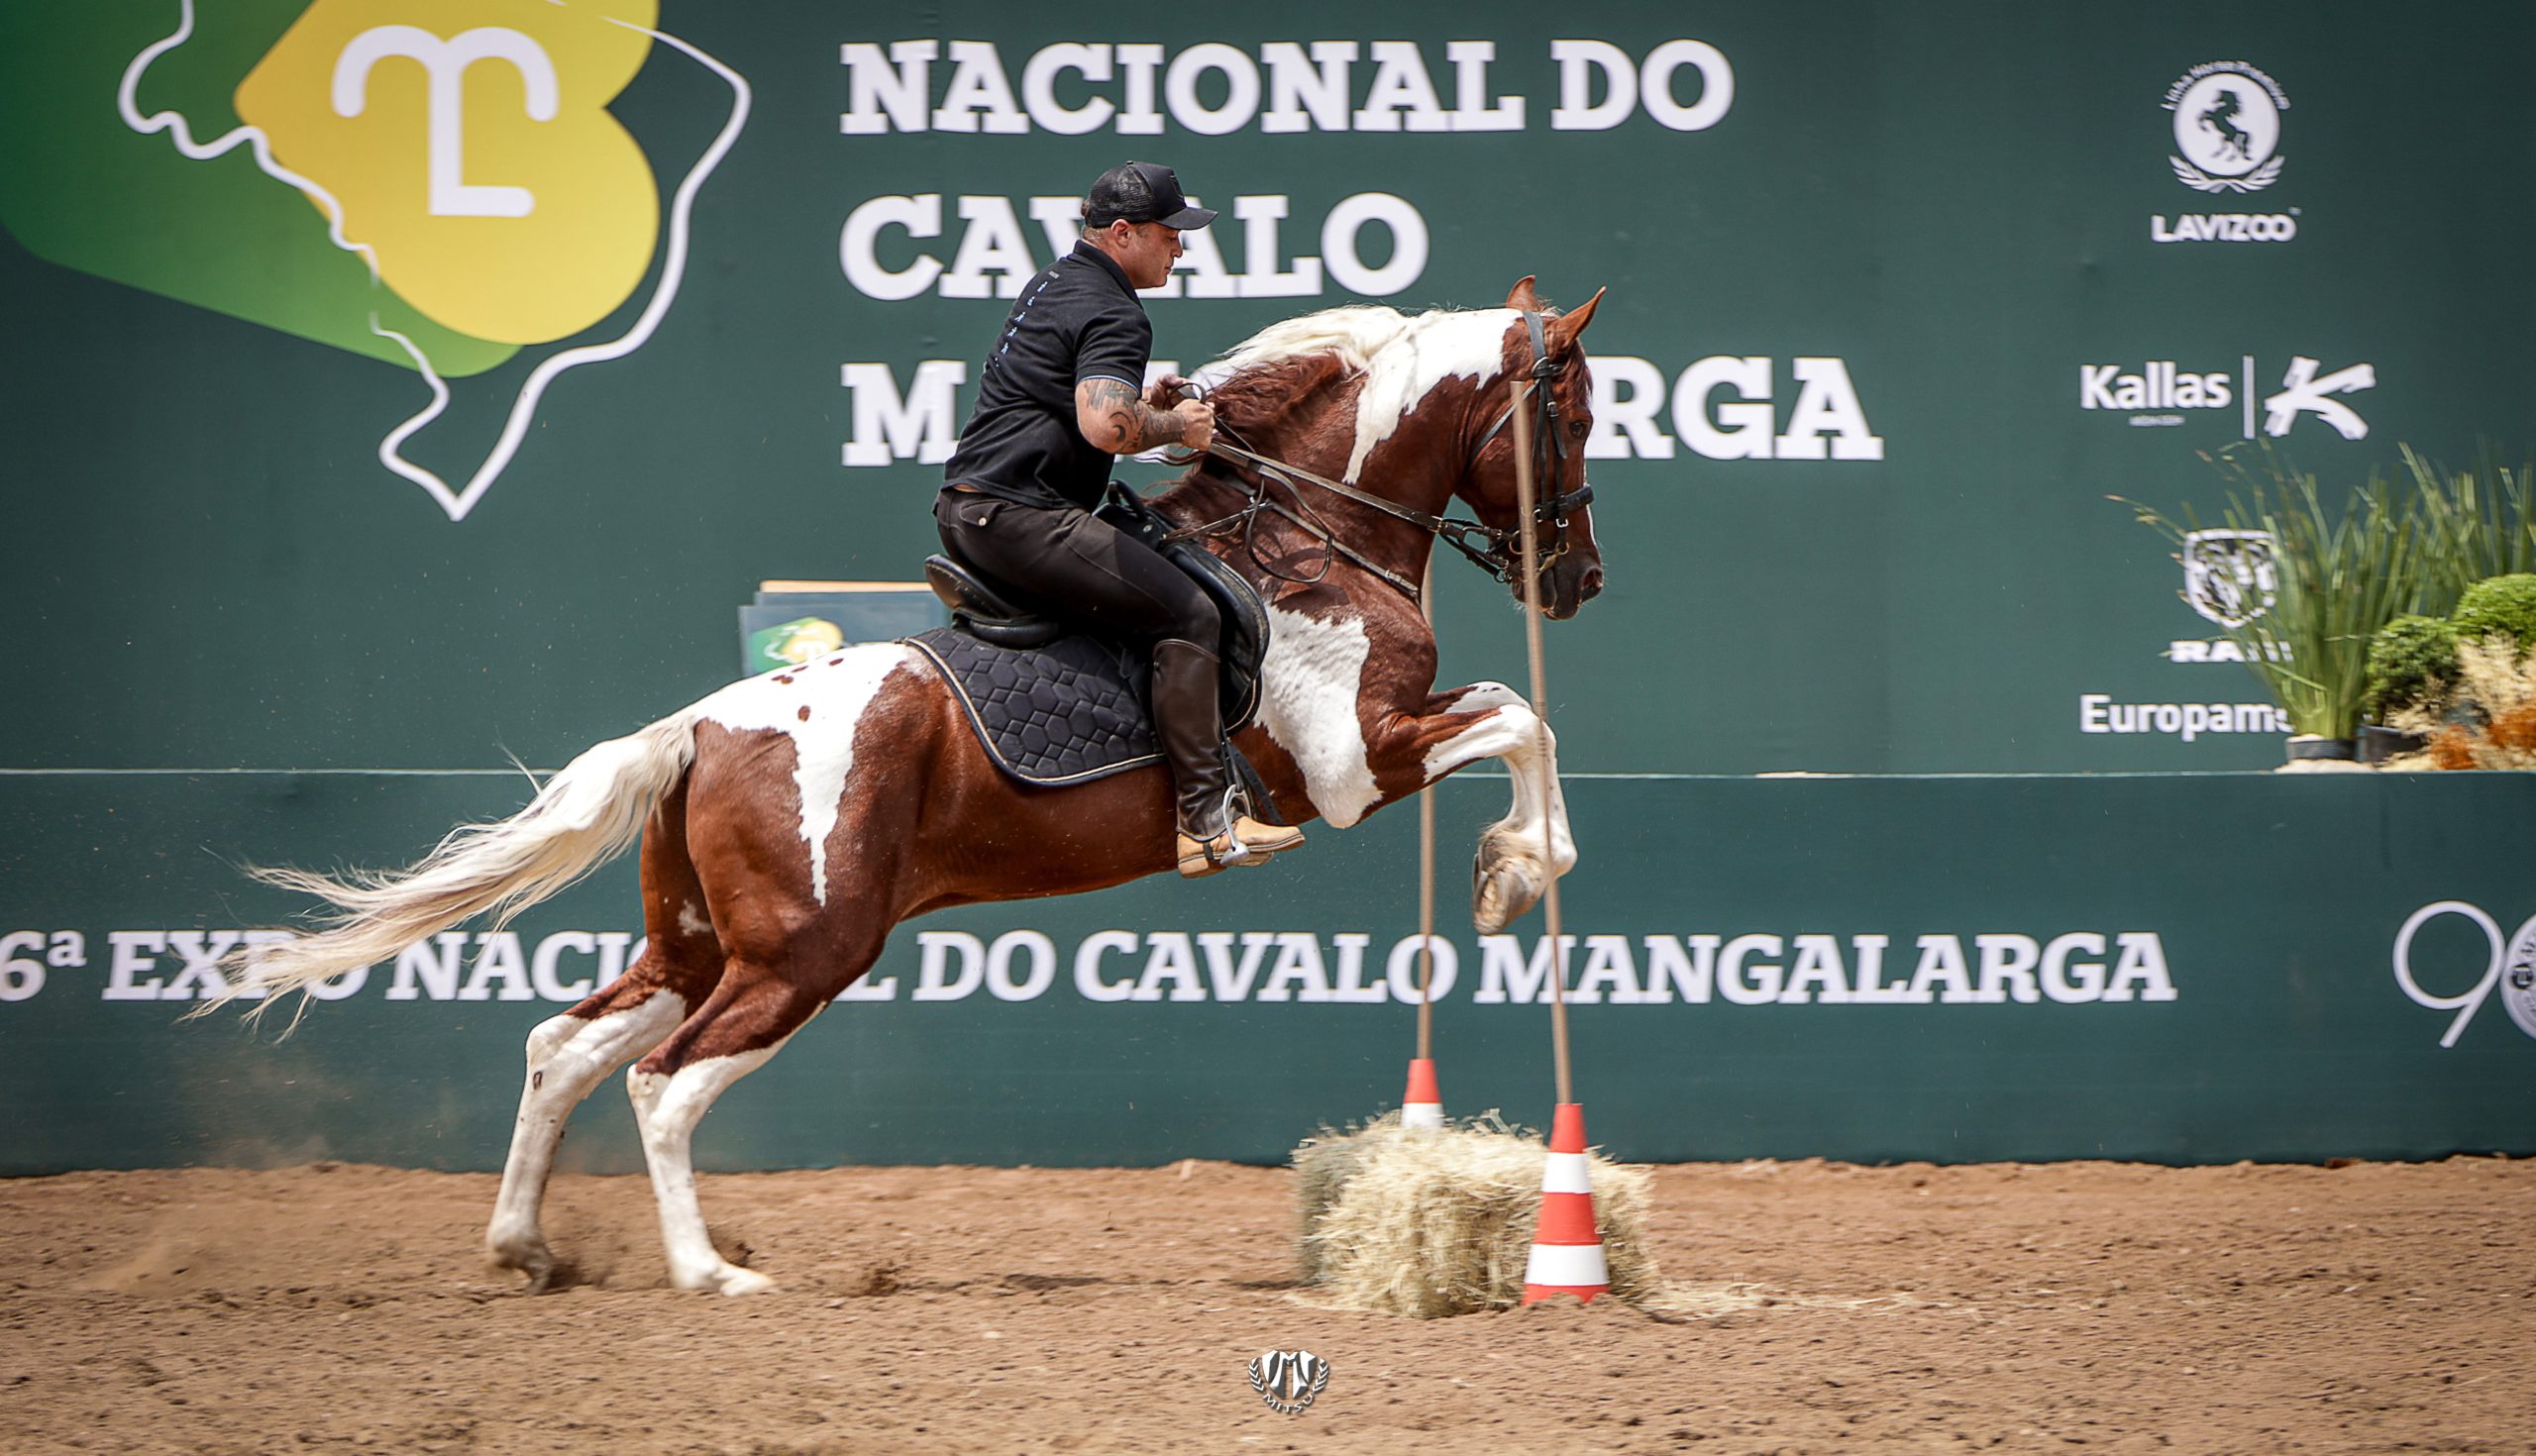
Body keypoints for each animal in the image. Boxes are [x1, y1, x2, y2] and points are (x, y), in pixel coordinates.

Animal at [218, 276, 1602, 1299]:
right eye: (1576, 416)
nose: (1574, 582)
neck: (1310, 541)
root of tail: (698, 728)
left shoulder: (1374, 751)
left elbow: (1514, 712)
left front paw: (1503, 873)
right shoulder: (1354, 765)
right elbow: (1521, 720)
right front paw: (1508, 878)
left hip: (702, 943)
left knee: (561, 1050)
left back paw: (525, 1250)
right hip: (805, 953)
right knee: (663, 1081)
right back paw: (708, 1274)